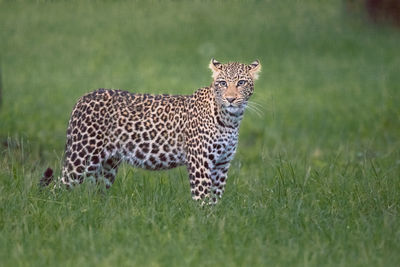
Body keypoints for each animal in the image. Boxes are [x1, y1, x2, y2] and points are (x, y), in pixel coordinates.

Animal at [39, 58, 260, 204]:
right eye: (222, 83)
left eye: (241, 82)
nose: (230, 99)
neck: (230, 120)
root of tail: (82, 98)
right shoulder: (200, 163)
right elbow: (202, 199)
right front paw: (203, 226)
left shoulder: (222, 164)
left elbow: (215, 199)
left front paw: (215, 222)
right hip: (82, 158)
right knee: (58, 188)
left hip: (107, 165)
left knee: (95, 194)